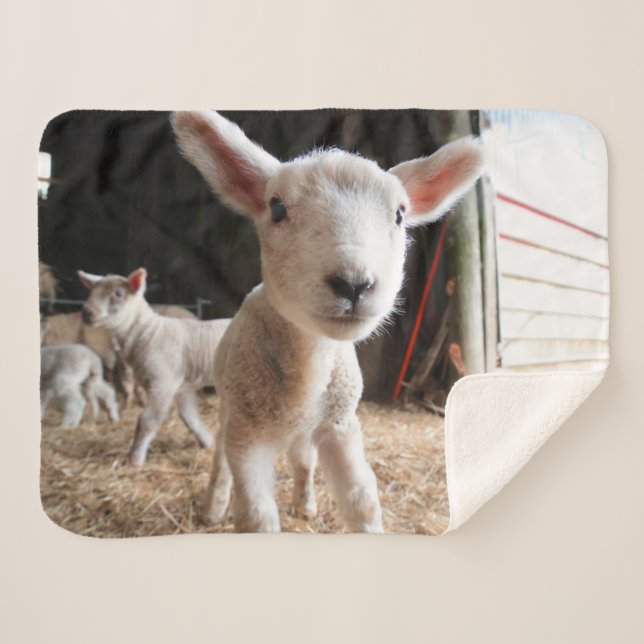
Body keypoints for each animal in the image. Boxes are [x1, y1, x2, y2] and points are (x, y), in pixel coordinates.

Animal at [77, 268, 231, 465]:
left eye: (118, 293)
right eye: (91, 290)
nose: (87, 312)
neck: (149, 333)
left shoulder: (163, 383)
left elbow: (147, 420)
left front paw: (135, 460)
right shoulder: (181, 386)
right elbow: (189, 417)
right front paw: (207, 443)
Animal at [172, 110, 485, 533]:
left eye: (400, 214)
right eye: (276, 209)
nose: (353, 284)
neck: (309, 367)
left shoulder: (340, 425)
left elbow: (362, 500)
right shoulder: (247, 436)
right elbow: (256, 516)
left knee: (303, 459)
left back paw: (304, 504)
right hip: (229, 411)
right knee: (221, 457)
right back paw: (213, 506)